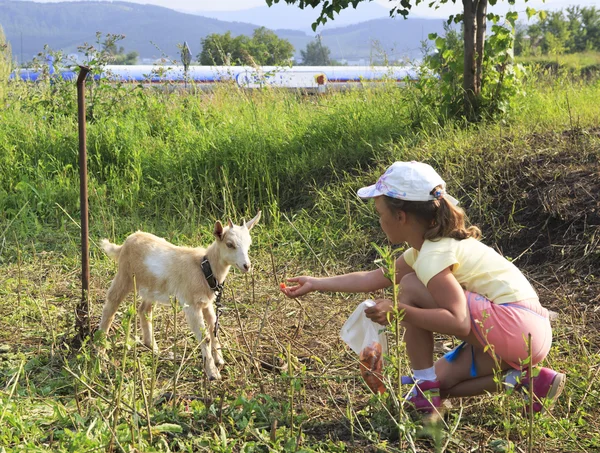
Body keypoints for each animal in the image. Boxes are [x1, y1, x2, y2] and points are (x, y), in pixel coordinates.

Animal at [99, 211, 262, 378]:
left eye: (249, 244)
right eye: (230, 244)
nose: (247, 266)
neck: (205, 267)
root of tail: (124, 244)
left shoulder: (206, 303)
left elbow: (213, 328)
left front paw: (219, 360)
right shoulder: (191, 305)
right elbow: (205, 337)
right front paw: (212, 373)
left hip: (152, 287)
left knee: (144, 310)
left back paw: (153, 347)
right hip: (124, 276)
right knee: (111, 305)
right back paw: (101, 351)